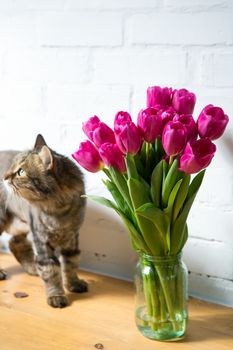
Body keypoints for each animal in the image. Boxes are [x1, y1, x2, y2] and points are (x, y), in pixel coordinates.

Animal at [0, 135, 87, 308]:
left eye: (21, 172)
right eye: (13, 166)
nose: (4, 177)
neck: (59, 212)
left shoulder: (72, 238)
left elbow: (71, 264)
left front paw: (73, 283)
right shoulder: (42, 239)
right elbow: (51, 271)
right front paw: (56, 295)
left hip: (22, 223)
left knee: (15, 243)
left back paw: (32, 267)